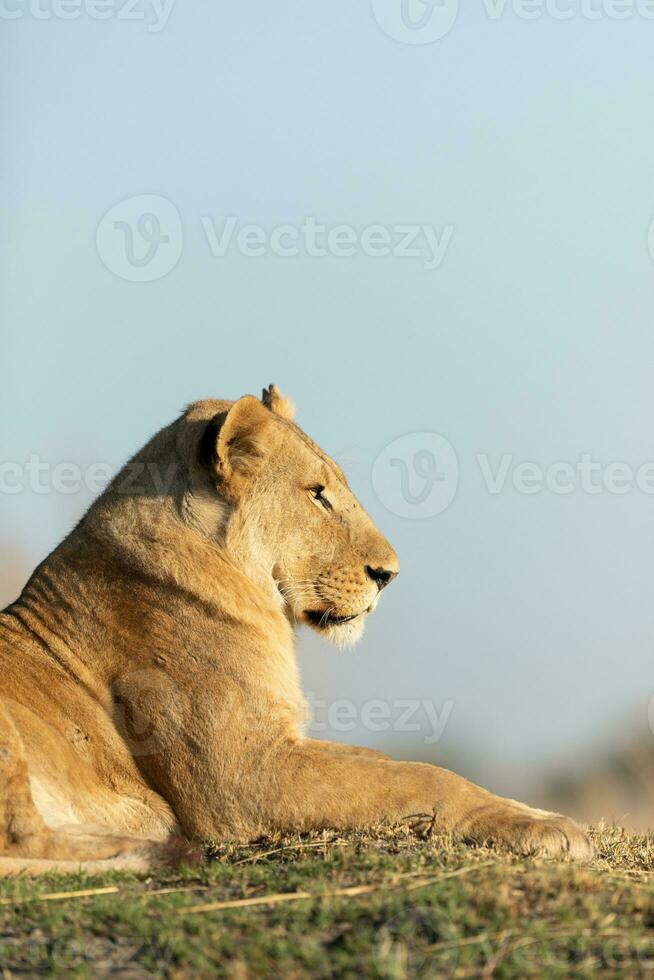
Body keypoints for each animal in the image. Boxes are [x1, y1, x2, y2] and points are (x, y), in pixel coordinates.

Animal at [0, 384, 596, 872]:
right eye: (317, 493)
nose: (389, 574)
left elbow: (386, 762)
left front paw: (536, 811)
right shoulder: (240, 775)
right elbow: (421, 776)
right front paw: (545, 829)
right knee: (24, 840)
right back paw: (156, 844)